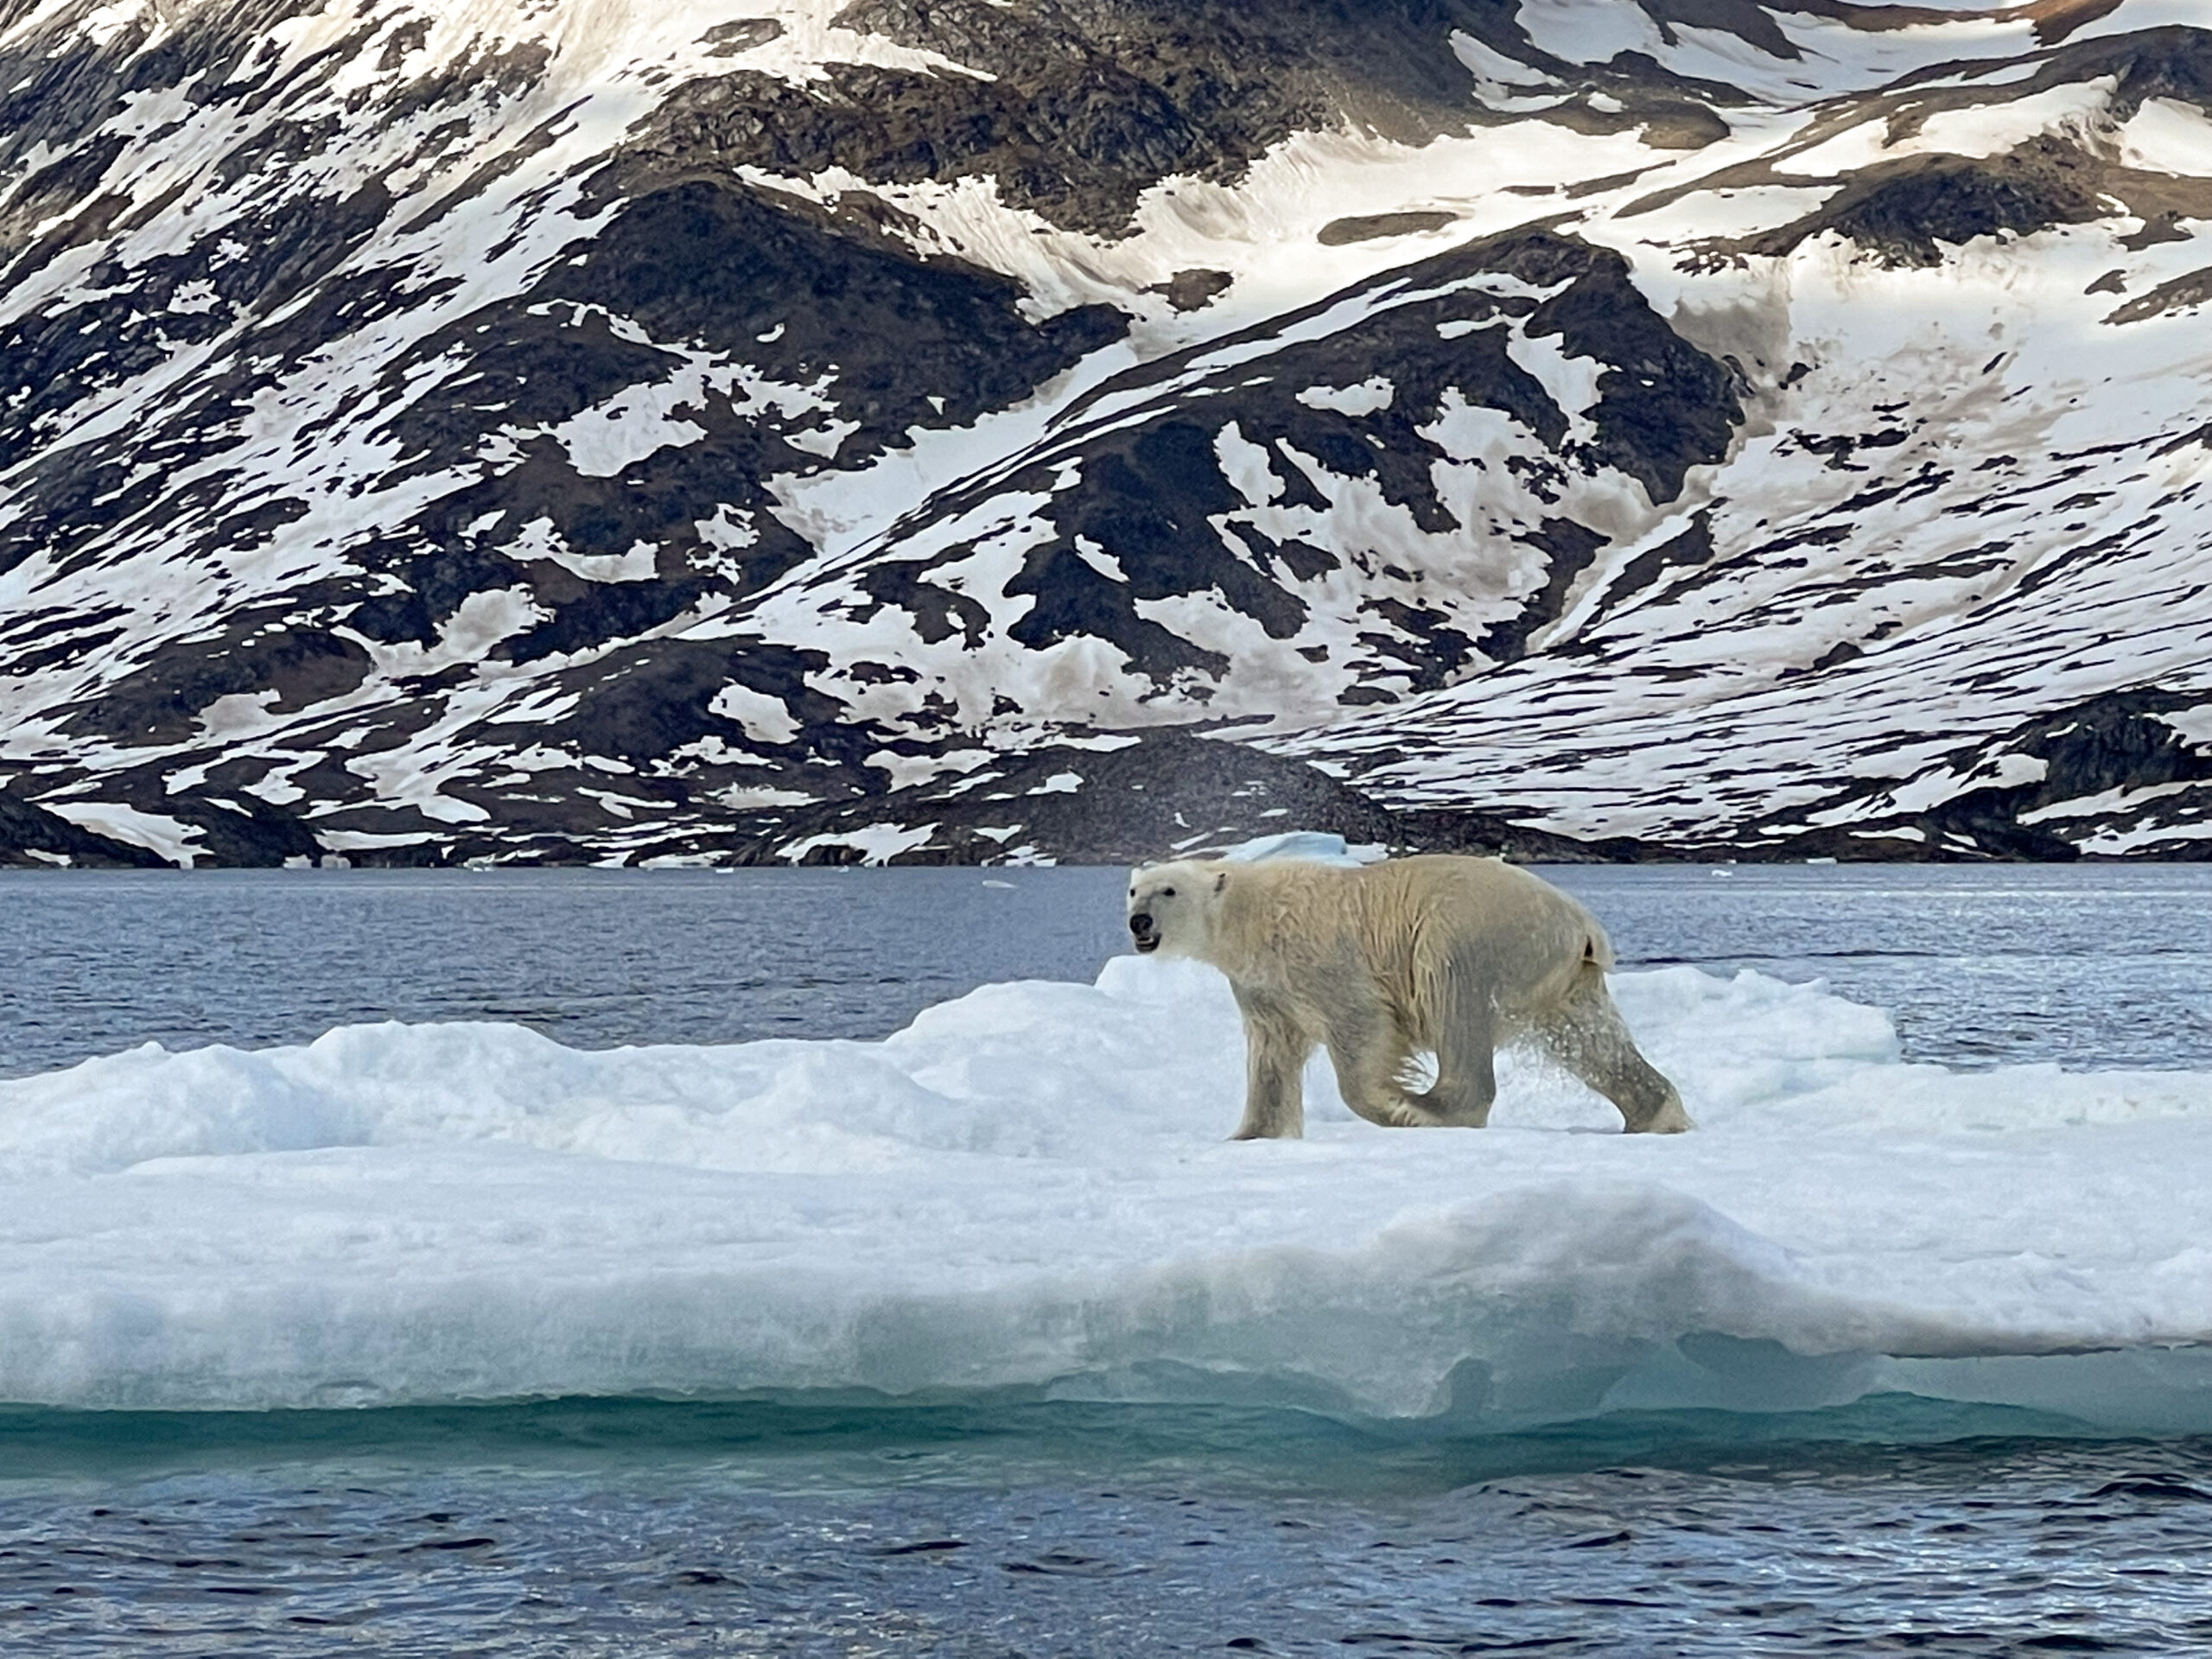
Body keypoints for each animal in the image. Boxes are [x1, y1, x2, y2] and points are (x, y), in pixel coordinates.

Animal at [1125, 853, 1690, 1139]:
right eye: (1134, 890)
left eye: (1169, 890)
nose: (1139, 922)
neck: (1253, 911)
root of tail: (1580, 922)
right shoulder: (1261, 986)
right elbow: (1271, 1055)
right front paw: (1250, 1136)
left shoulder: (1320, 956)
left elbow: (1361, 1023)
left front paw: (1391, 1100)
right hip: (1561, 978)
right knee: (1590, 1040)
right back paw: (1655, 1115)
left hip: (1469, 931)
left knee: (1453, 1001)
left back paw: (1428, 1109)